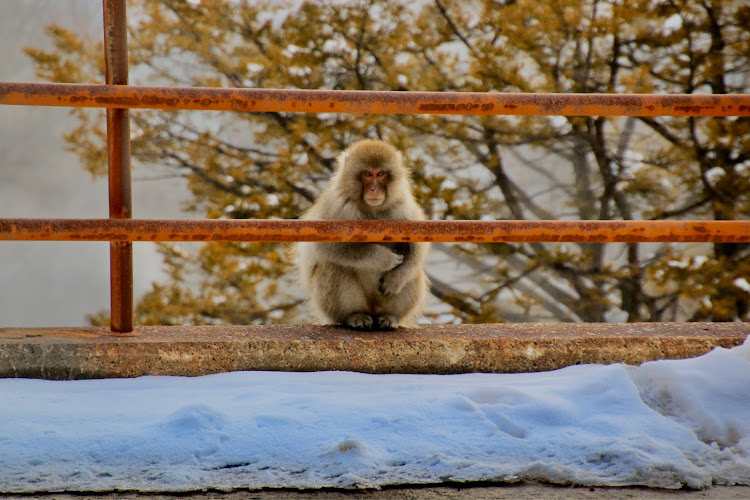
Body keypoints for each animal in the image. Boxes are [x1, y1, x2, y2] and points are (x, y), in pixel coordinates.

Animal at [296, 139, 432, 330]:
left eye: (381, 174)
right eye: (367, 174)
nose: (374, 189)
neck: (371, 209)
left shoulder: (402, 205)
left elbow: (417, 244)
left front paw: (396, 278)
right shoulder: (339, 206)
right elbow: (324, 246)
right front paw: (382, 258)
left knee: (414, 271)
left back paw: (389, 316)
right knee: (333, 266)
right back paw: (354, 316)